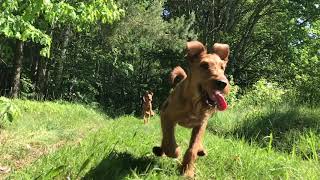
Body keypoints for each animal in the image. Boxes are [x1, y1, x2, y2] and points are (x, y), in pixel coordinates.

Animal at [152, 40, 230, 177]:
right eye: (204, 65)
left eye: (222, 67)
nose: (222, 83)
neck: (194, 103)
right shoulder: (167, 116)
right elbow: (169, 141)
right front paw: (175, 152)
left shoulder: (201, 124)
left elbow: (192, 148)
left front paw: (187, 171)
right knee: (165, 138)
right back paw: (160, 150)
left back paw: (201, 150)